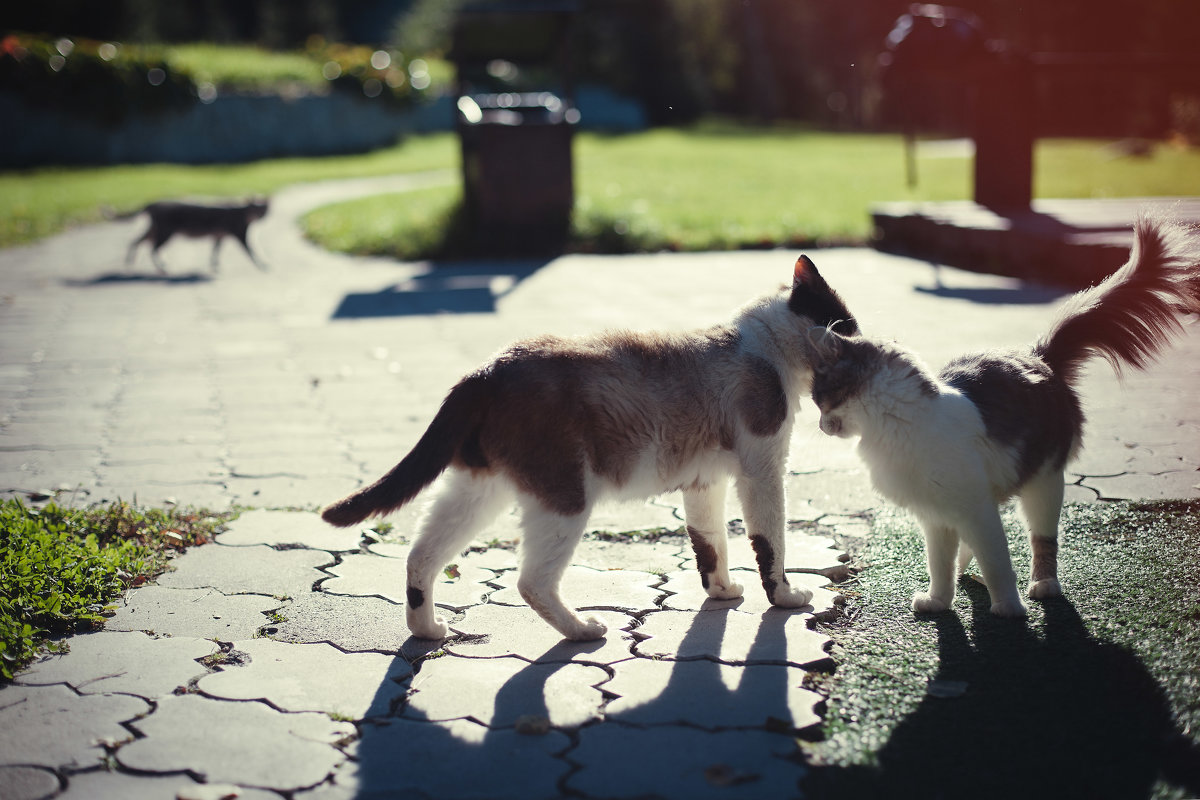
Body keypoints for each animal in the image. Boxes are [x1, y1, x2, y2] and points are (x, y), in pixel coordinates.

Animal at [126, 199, 267, 273]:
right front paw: (261, 264)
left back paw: (130, 261)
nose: (261, 216)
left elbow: (215, 251)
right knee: (152, 247)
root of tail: (153, 204)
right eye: (256, 208)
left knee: (136, 241)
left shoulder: (219, 237)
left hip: (156, 231)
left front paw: (215, 265)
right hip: (165, 232)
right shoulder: (239, 236)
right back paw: (161, 267)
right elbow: (251, 251)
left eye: (264, 210)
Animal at [324, 256, 859, 642]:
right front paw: (785, 596)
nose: (858, 332)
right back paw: (583, 630)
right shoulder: (762, 474)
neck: (764, 349)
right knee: (531, 582)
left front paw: (722, 592)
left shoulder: (704, 485)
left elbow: (711, 546)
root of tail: (486, 370)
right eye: (845, 320)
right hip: (566, 500)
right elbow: (771, 545)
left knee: (421, 555)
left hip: (479, 493)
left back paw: (429, 630)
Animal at [806, 217, 1200, 618]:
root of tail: (1038, 357)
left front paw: (1009, 607)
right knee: (971, 545)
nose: (820, 425)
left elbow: (997, 560)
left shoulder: (975, 507)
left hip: (1044, 483)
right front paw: (939, 601)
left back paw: (1043, 585)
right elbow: (939, 564)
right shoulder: (937, 514)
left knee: (1042, 540)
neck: (898, 423)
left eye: (819, 398)